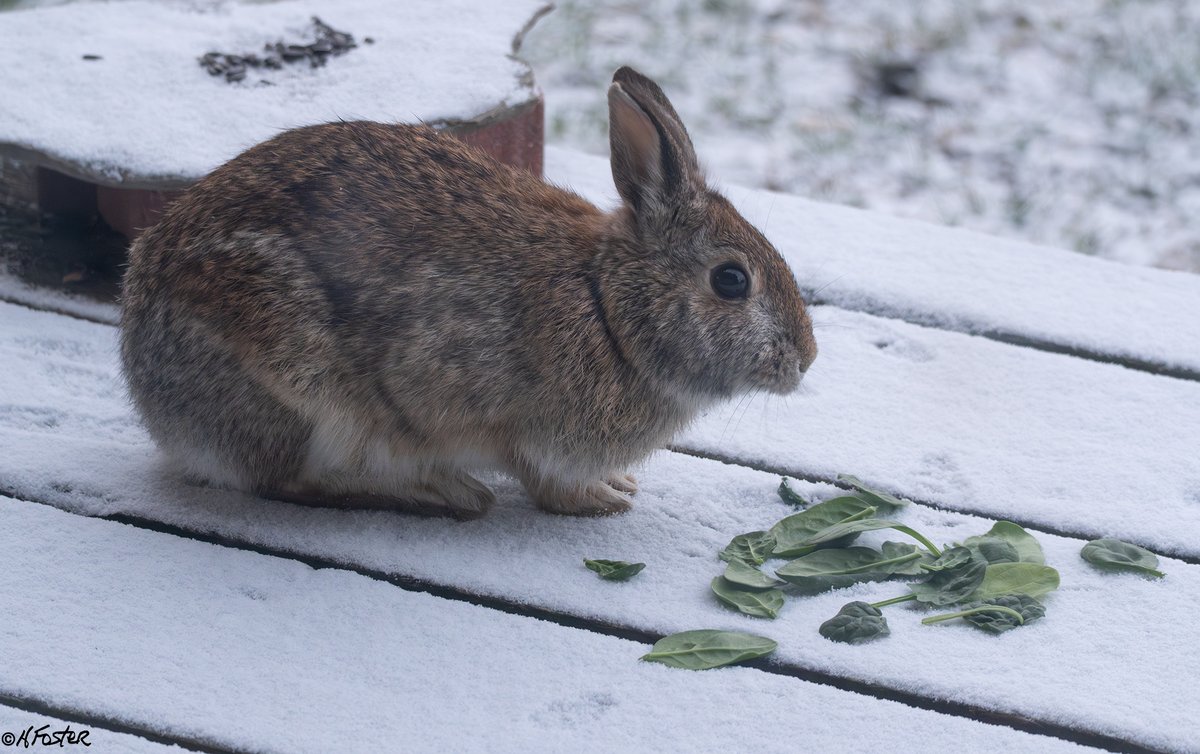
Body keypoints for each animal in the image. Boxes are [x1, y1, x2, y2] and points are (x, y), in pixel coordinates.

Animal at [119, 66, 817, 519]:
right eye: (731, 280)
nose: (805, 360)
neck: (609, 307)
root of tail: (151, 395)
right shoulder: (527, 429)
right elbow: (545, 483)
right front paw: (603, 499)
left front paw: (618, 484)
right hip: (299, 385)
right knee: (288, 482)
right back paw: (443, 492)